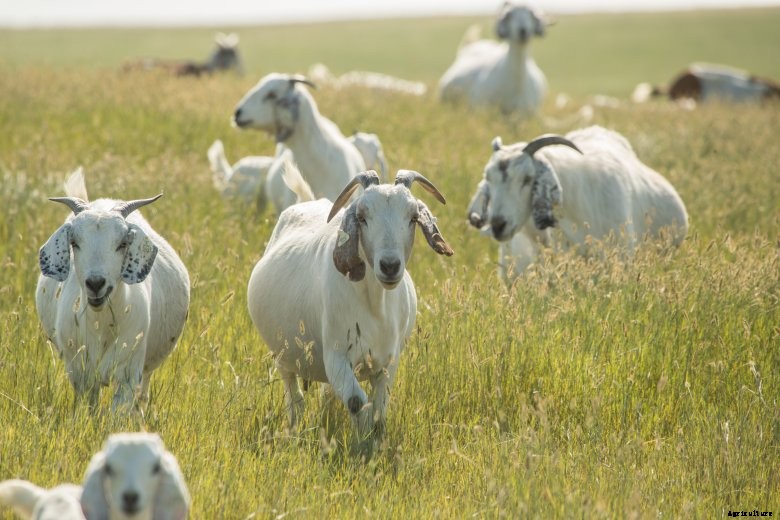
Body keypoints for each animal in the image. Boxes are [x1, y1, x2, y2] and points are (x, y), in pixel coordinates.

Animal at [35, 168, 190, 411]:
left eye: (122, 244)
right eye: (74, 243)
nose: (95, 283)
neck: (102, 326)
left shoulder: (128, 373)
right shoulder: (80, 373)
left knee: (142, 397)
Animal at [247, 171, 453, 441]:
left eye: (413, 217)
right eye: (362, 217)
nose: (389, 266)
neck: (375, 306)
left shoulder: (388, 363)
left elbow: (379, 411)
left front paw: (374, 441)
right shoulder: (337, 357)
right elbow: (356, 402)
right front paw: (362, 440)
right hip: (283, 356)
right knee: (295, 397)